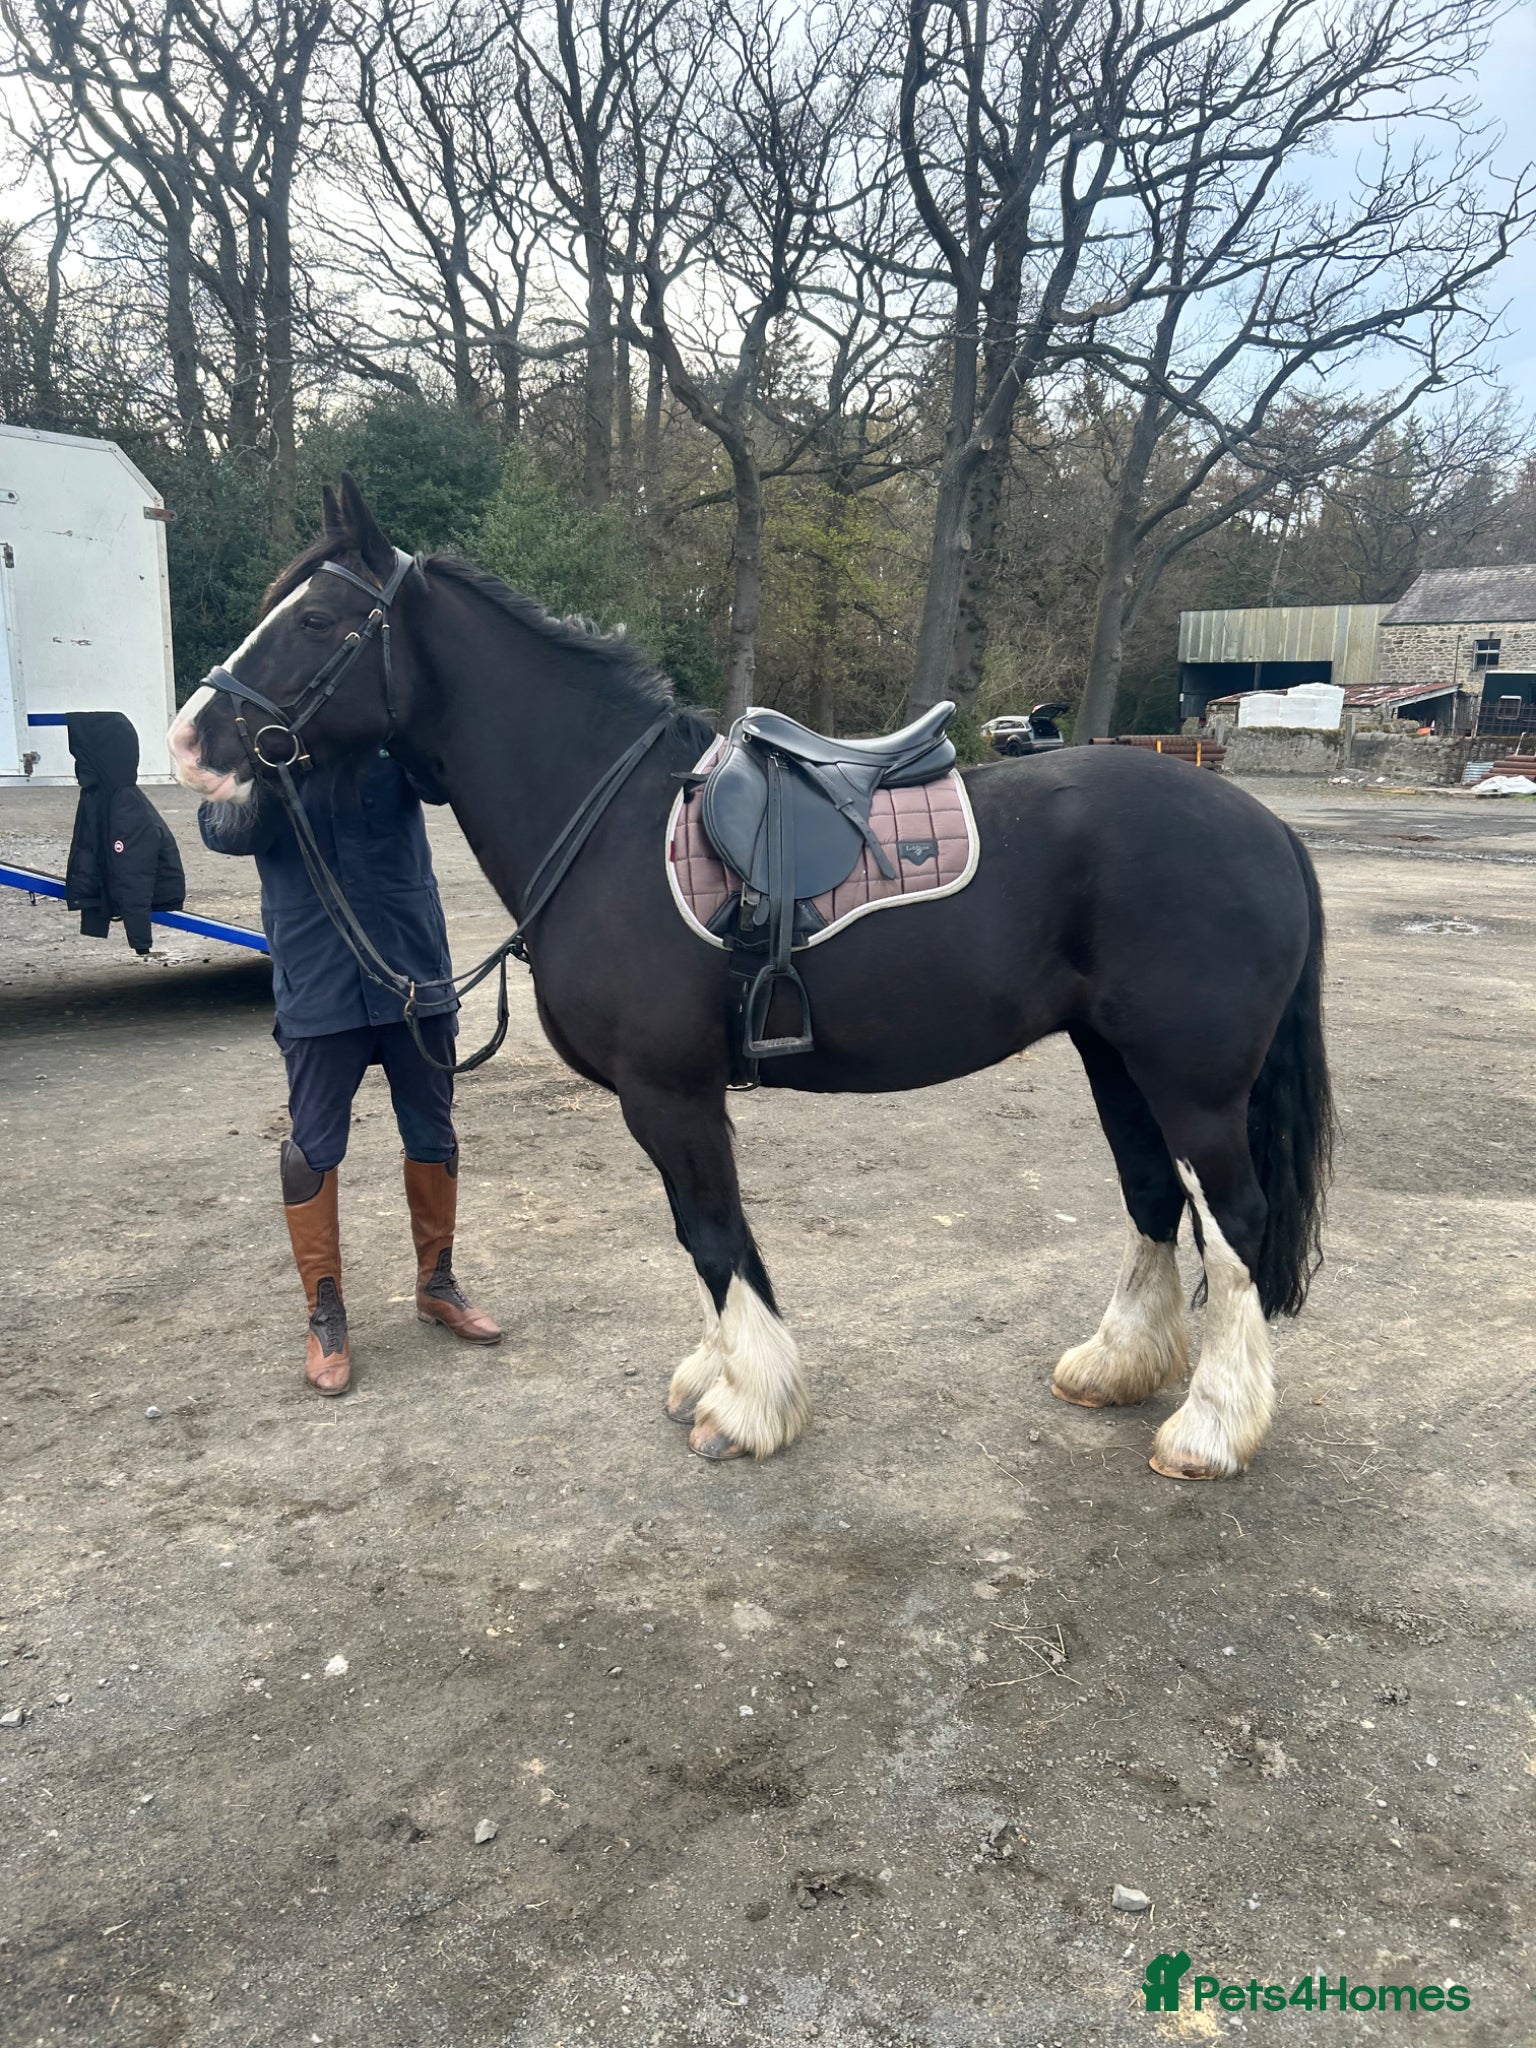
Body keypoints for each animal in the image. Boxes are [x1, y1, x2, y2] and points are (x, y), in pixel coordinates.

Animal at [169, 476, 1334, 1480]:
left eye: (320, 620)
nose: (189, 739)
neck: (610, 823)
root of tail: (1268, 829)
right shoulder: (670, 1098)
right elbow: (698, 1236)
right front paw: (714, 1376)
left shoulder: (670, 1092)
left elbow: (713, 1232)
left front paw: (749, 1405)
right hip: (1114, 1060)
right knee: (1154, 1200)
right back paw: (1117, 1367)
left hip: (1192, 1083)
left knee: (1236, 1224)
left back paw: (1211, 1429)